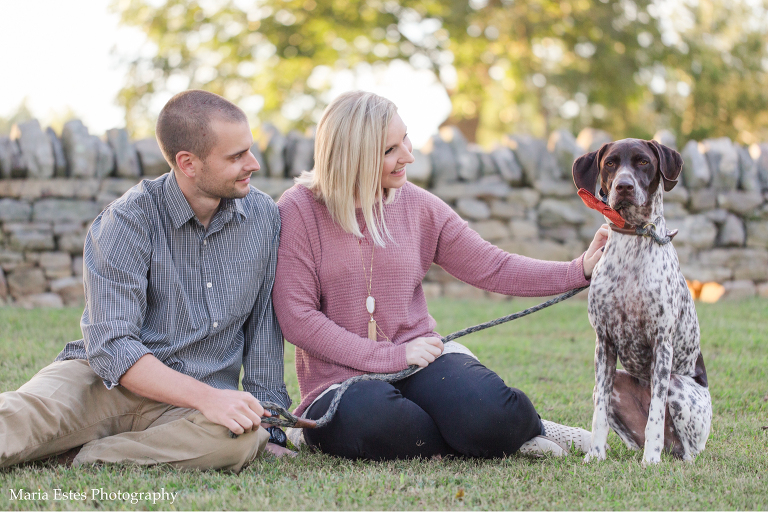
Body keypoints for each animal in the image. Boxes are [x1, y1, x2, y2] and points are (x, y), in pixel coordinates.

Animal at [572, 138, 712, 466]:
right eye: (610, 163)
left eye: (644, 162)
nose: (623, 186)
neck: (632, 240)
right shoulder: (604, 343)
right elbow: (598, 416)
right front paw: (595, 455)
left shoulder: (662, 343)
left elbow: (655, 415)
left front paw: (651, 459)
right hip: (613, 385)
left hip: (677, 385)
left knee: (688, 448)